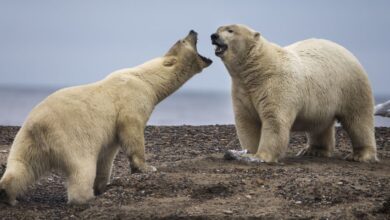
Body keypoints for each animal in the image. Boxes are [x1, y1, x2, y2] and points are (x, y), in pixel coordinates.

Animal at [0, 29, 213, 205]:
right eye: (183, 40)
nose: (193, 30)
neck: (145, 78)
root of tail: (39, 126)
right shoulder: (133, 99)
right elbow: (132, 130)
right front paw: (146, 167)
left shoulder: (109, 135)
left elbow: (107, 155)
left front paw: (102, 185)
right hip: (70, 138)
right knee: (81, 169)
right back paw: (85, 198)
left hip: (26, 141)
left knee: (21, 167)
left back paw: (8, 195)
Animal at [210, 24, 378, 163]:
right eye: (219, 29)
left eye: (230, 30)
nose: (214, 36)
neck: (259, 68)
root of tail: (349, 52)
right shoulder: (242, 88)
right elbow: (246, 120)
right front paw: (248, 152)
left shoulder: (276, 84)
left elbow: (274, 120)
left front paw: (261, 156)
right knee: (320, 125)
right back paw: (313, 150)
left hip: (351, 86)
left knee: (358, 119)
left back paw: (360, 155)